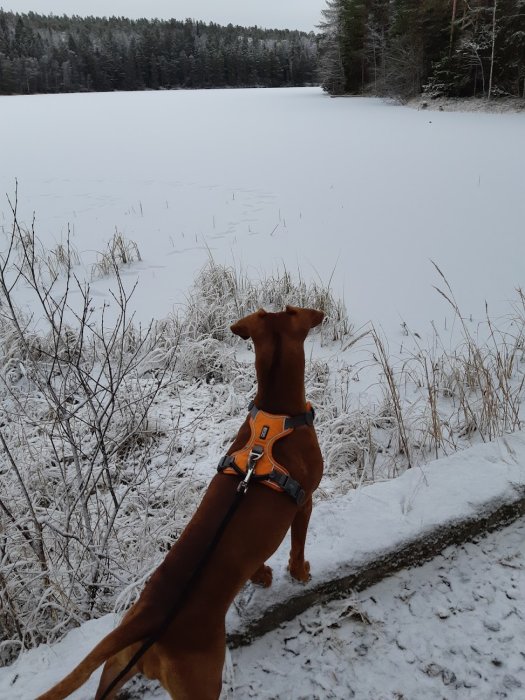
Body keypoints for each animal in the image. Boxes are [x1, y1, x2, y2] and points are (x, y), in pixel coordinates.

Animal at [36, 306, 324, 700]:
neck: (275, 415)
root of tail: (151, 615)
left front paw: (262, 575)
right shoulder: (305, 502)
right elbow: (297, 545)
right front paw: (299, 574)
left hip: (116, 669)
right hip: (201, 681)